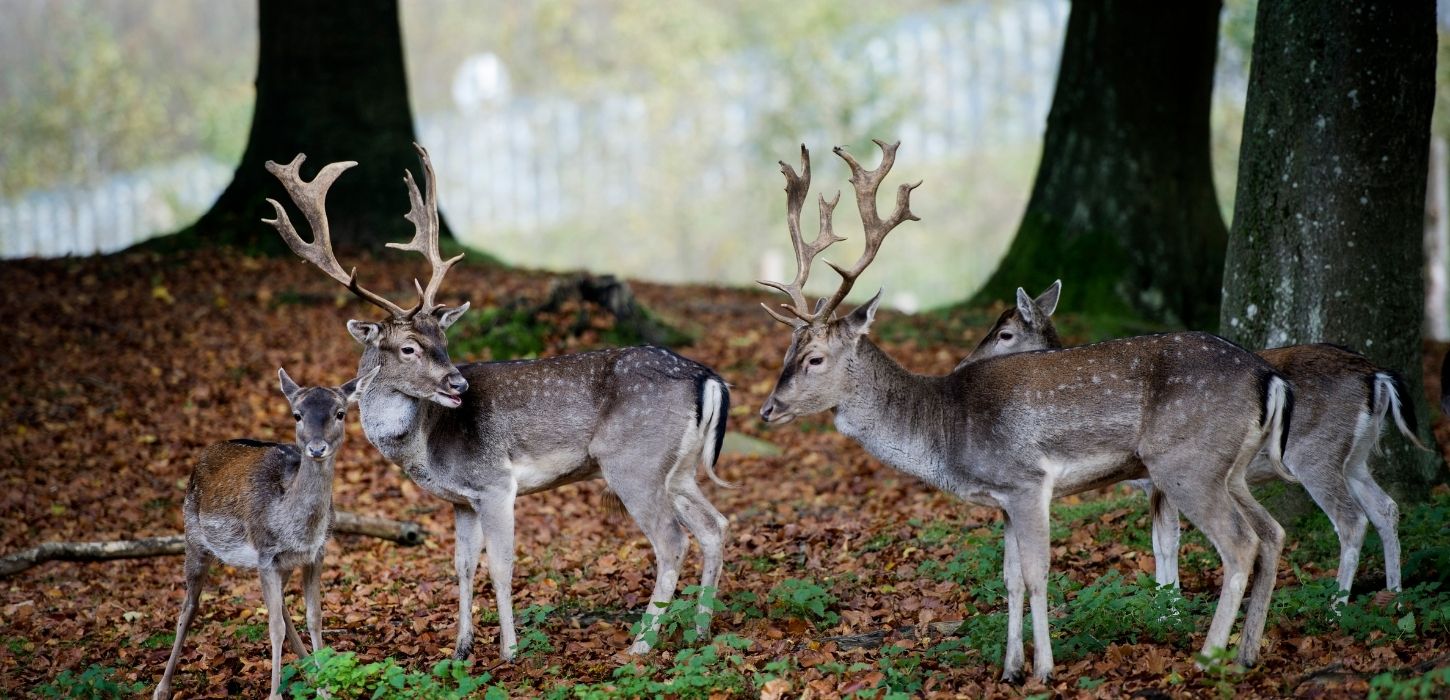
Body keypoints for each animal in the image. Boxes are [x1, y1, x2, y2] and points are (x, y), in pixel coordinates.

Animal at [154, 367, 376, 700]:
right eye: (297, 415)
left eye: (340, 413)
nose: (316, 448)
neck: (295, 527)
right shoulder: (265, 555)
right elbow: (274, 626)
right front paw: (275, 694)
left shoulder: (316, 553)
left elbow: (314, 617)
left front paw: (325, 688)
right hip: (193, 537)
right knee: (188, 607)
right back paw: (163, 687)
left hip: (278, 565)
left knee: (282, 605)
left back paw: (309, 674)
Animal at [263, 144, 732, 661]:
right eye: (409, 347)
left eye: (443, 339)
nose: (457, 384)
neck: (426, 444)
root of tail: (709, 379)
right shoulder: (462, 500)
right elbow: (463, 565)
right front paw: (461, 647)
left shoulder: (495, 483)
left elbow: (501, 565)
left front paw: (509, 650)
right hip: (680, 468)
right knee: (715, 526)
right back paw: (701, 630)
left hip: (635, 461)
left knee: (672, 540)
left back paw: (641, 645)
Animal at [755, 140, 1294, 681]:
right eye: (786, 352)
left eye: (814, 358)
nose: (768, 408)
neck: (946, 431)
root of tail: (1270, 378)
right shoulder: (1003, 498)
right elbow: (1010, 578)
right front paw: (1010, 668)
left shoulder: (1027, 480)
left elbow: (1037, 575)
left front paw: (1043, 670)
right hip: (1232, 468)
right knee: (1273, 531)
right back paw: (1246, 654)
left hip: (1187, 462)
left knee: (1240, 543)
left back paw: (1211, 658)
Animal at [963, 281, 1429, 600]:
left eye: (1005, 334)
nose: (965, 363)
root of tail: (1377, 376)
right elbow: (1164, 541)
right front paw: (1167, 602)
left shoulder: (1157, 478)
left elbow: (1165, 542)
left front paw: (1166, 606)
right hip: (1355, 457)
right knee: (1386, 508)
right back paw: (1394, 593)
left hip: (1317, 454)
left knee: (1352, 520)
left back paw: (1337, 603)